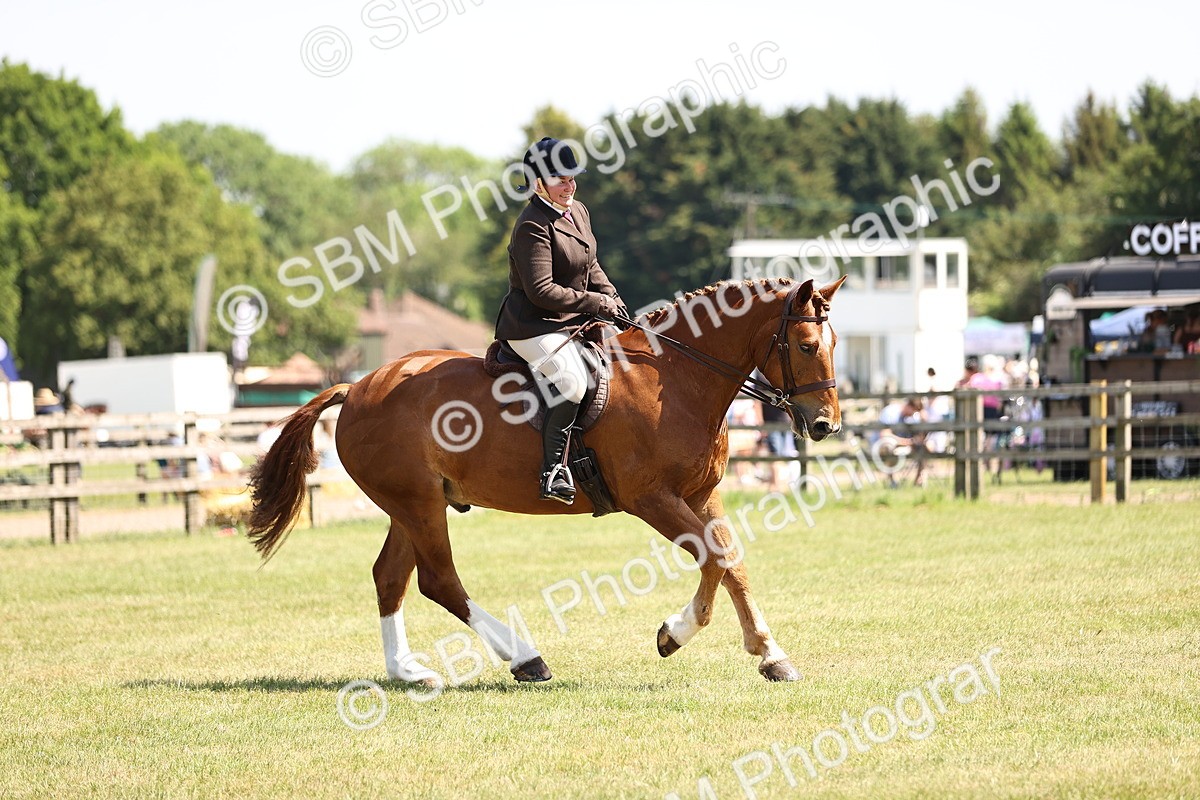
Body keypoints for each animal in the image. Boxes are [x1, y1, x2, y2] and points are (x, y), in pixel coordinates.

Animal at [246, 276, 846, 685]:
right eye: (806, 346)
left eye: (835, 344)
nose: (825, 425)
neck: (676, 379)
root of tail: (357, 386)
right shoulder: (651, 497)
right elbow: (713, 559)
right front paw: (674, 634)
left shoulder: (701, 493)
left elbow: (732, 561)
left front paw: (771, 655)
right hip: (419, 505)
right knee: (439, 580)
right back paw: (525, 657)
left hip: (410, 505)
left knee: (389, 577)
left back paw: (407, 671)